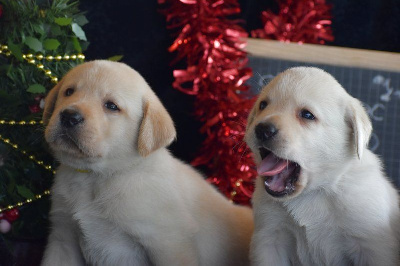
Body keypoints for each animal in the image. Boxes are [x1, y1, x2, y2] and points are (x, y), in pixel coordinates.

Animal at [40, 60, 253, 266]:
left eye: (111, 106)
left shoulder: (168, 243)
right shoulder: (63, 238)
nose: (69, 116)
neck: (96, 177)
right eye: (69, 92)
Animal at [245, 67, 398, 266]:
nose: (262, 129)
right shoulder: (269, 238)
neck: (315, 192)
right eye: (263, 105)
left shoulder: (372, 247)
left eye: (307, 115)